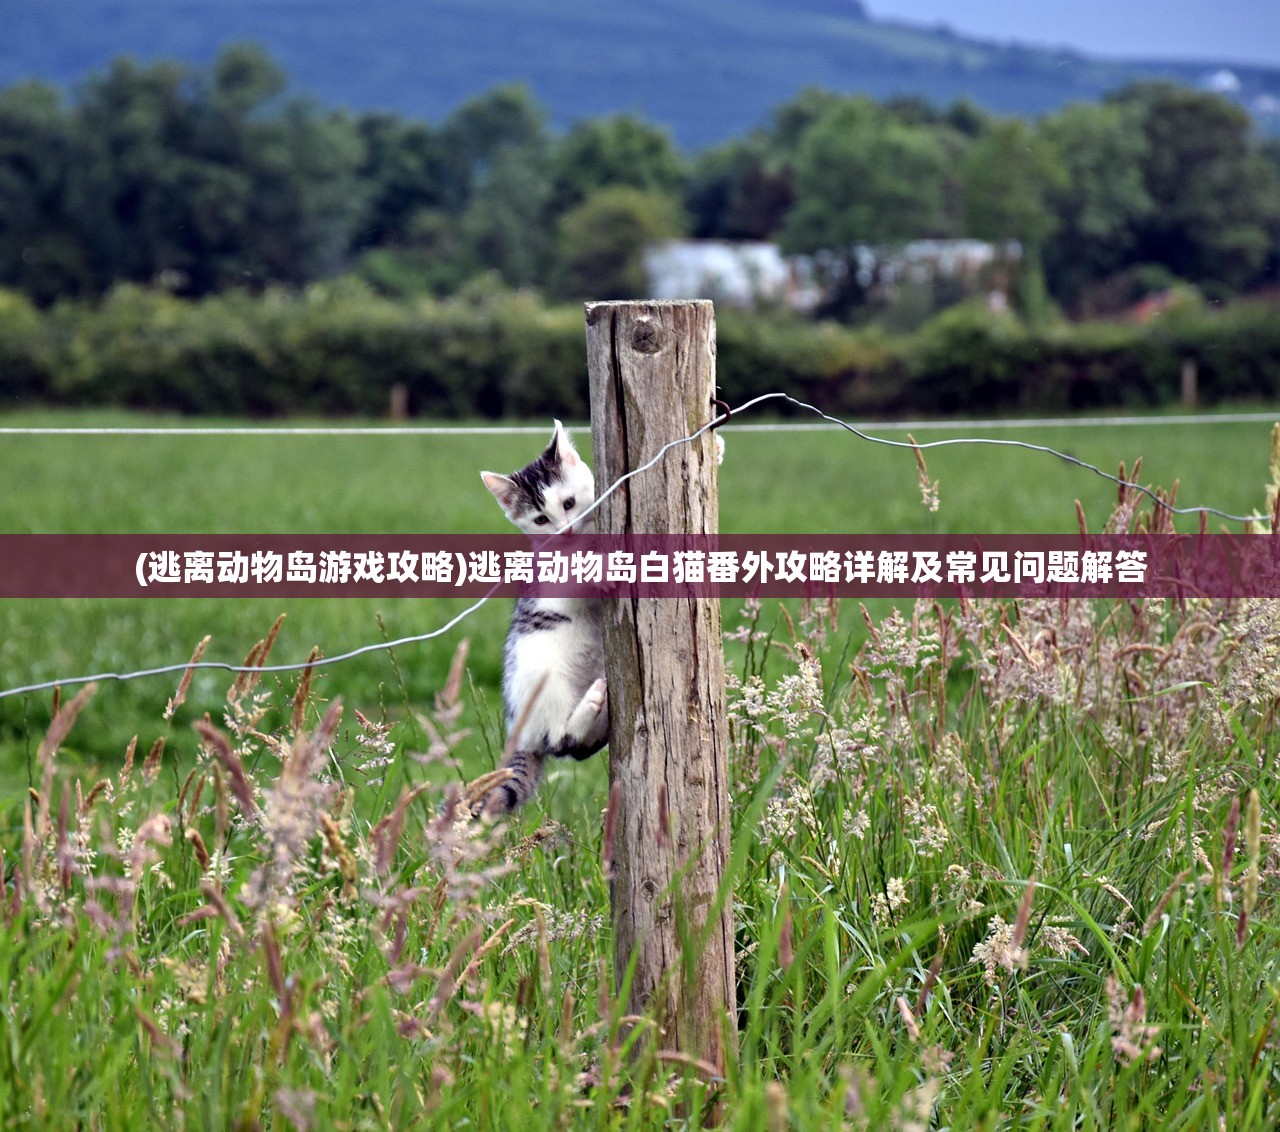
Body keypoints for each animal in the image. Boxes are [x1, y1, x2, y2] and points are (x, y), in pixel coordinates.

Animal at [476, 420, 609, 819]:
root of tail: (518, 732)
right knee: (561, 741)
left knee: (578, 749)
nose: (565, 530)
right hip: (543, 678)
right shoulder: (556, 578)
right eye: (541, 519)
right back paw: (590, 706)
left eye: (568, 503)